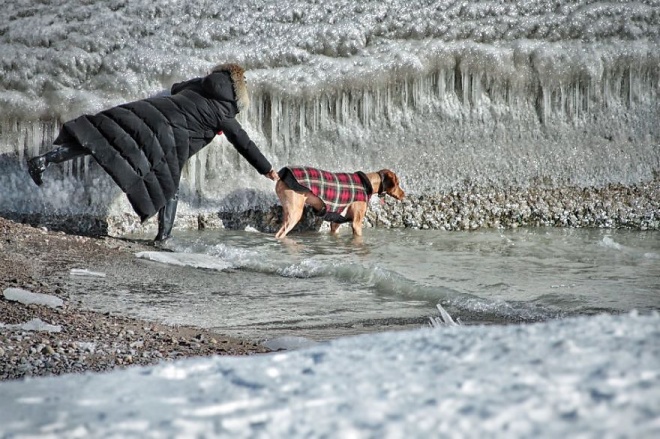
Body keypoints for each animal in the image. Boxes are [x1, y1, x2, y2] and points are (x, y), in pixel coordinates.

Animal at [274, 168, 402, 237]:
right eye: (398, 183)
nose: (403, 195)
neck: (367, 183)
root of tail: (281, 176)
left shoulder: (336, 221)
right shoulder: (356, 223)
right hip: (294, 214)